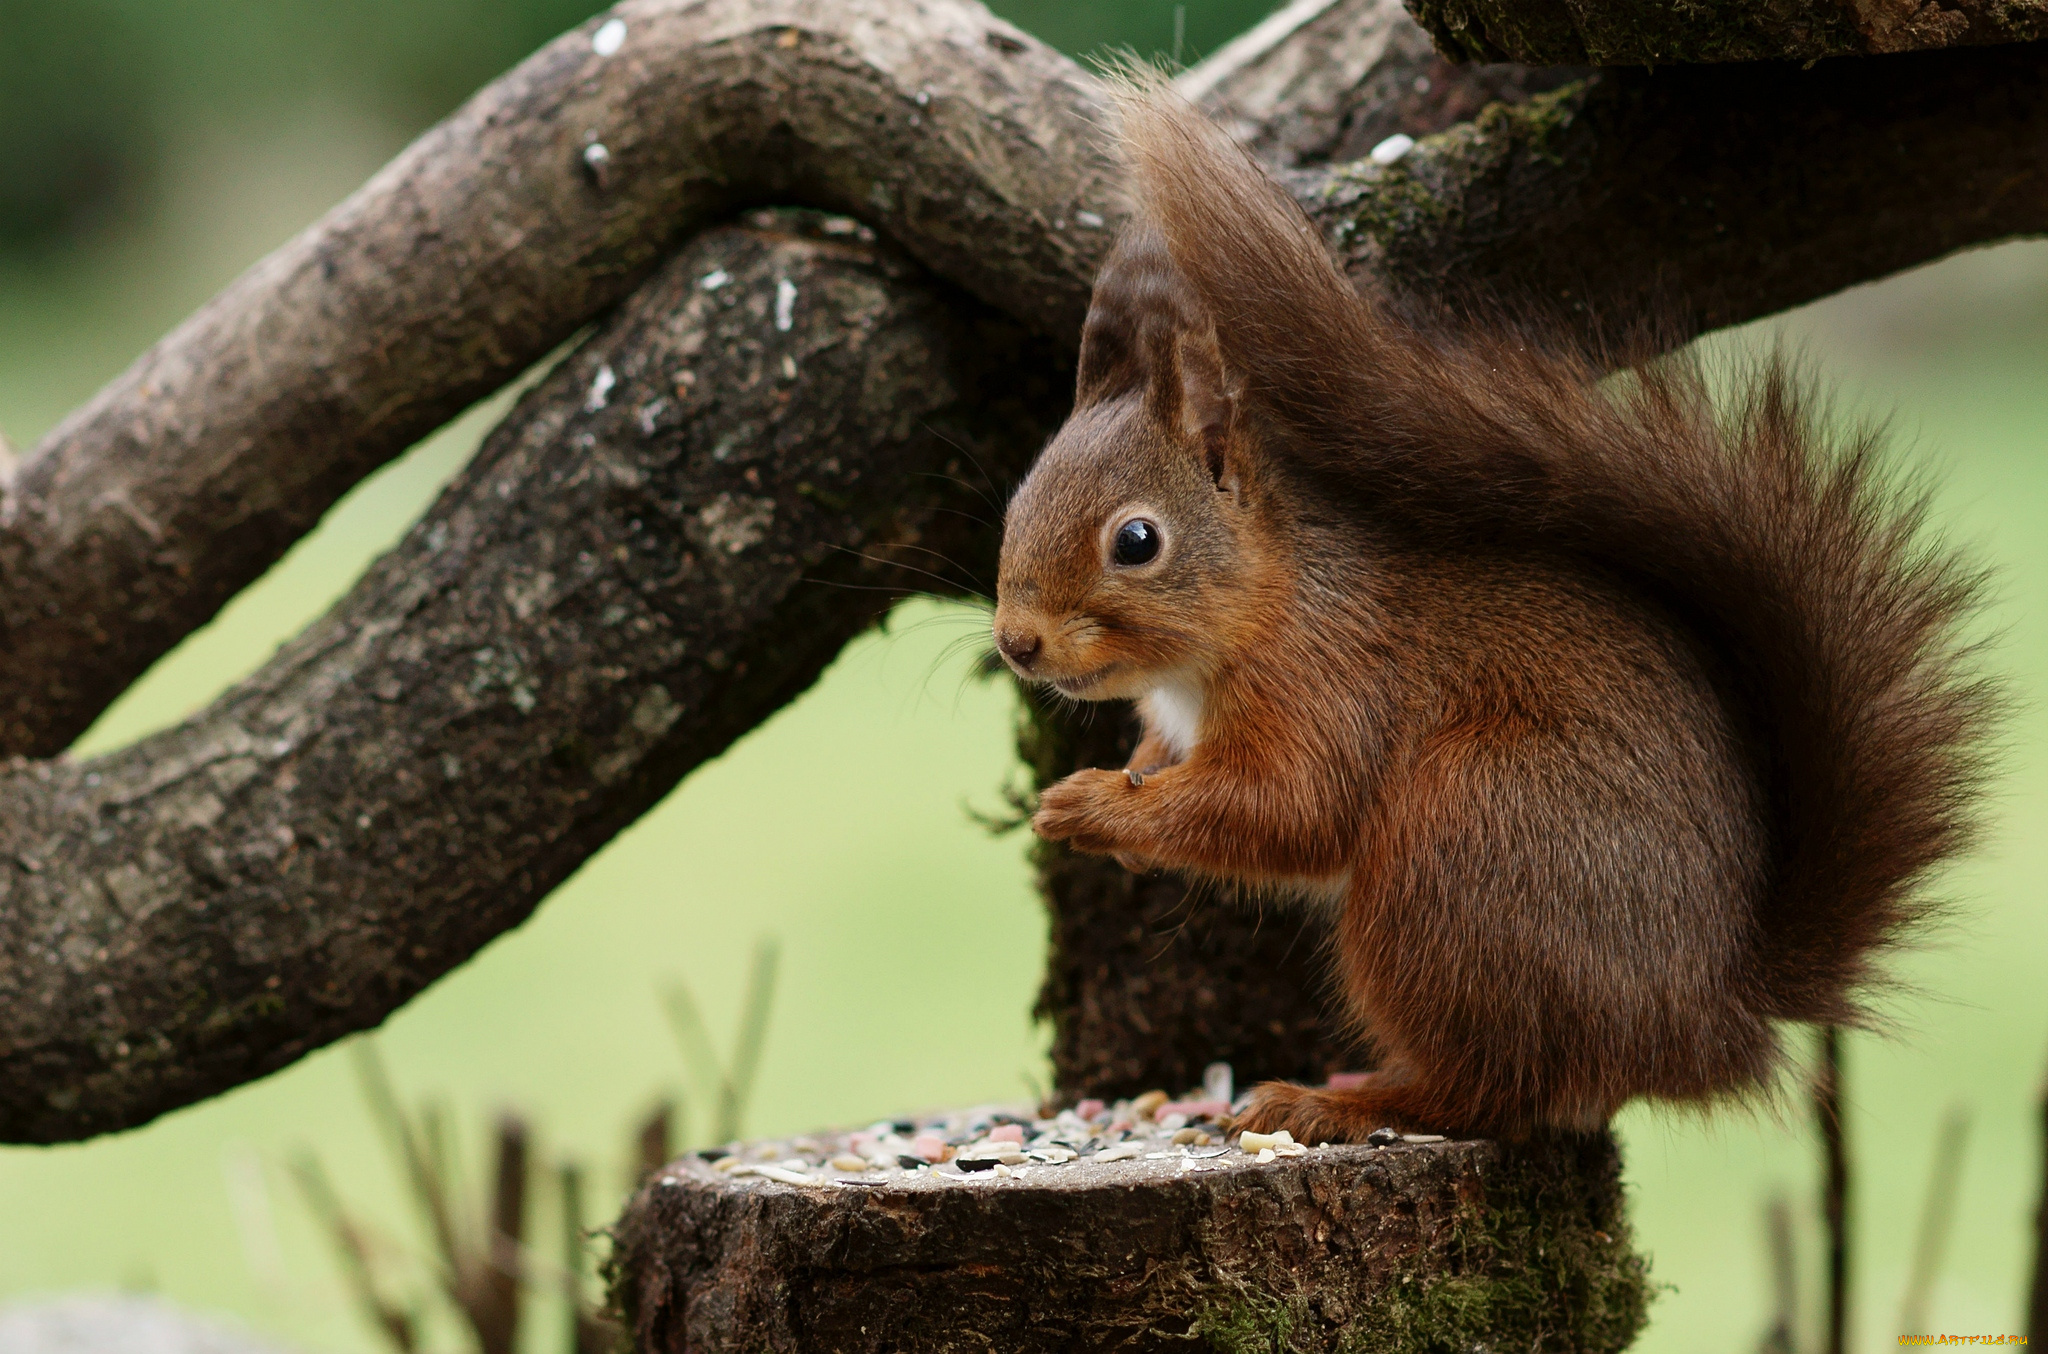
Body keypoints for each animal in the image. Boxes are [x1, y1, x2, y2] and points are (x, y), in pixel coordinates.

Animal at [999, 79, 1990, 1138]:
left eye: (1137, 541)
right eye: (1016, 504)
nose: (1016, 643)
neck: (1266, 603)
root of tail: (1704, 1017)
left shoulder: (1330, 677)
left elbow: (1287, 806)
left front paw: (1094, 806)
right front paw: (1128, 788)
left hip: (1462, 851)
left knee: (1489, 1087)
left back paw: (1335, 1101)